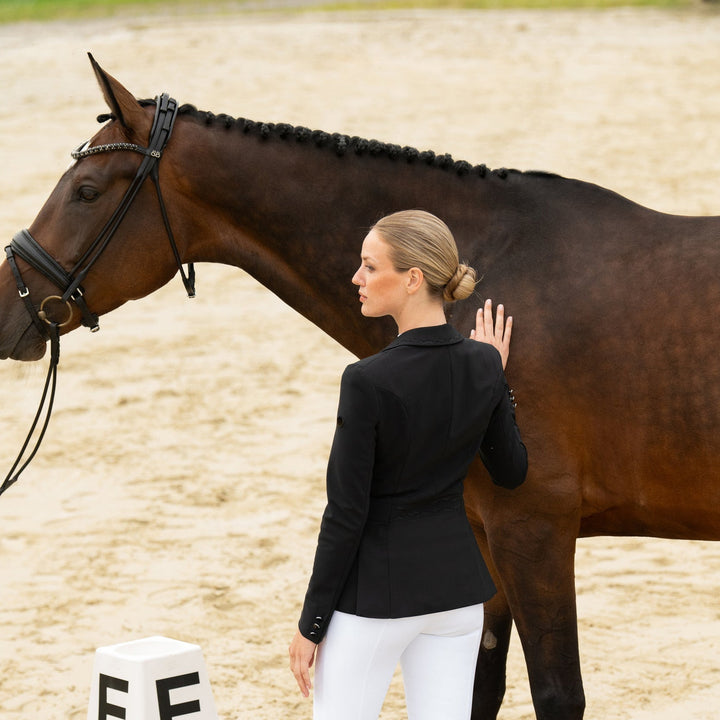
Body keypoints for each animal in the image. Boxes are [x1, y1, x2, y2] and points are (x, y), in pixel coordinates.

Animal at [2, 55, 720, 720]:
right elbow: (475, 688)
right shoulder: (480, 534)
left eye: (87, 190)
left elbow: (556, 692)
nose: (10, 305)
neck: (493, 271)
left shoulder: (534, 528)